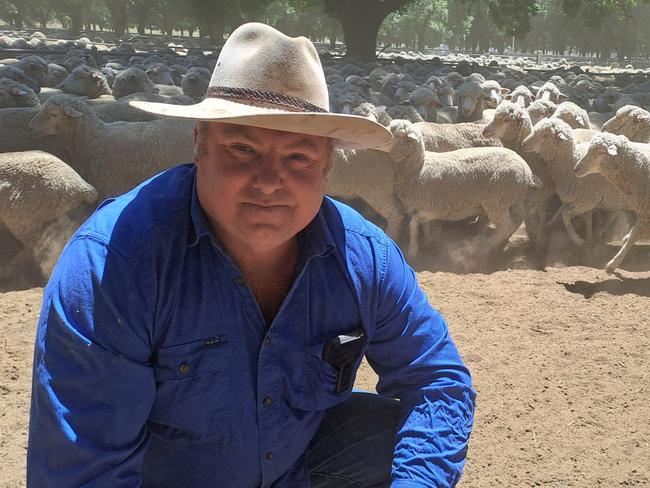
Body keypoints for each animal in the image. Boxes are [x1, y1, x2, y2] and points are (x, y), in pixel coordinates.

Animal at [380, 118, 536, 260]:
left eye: (397, 134)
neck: (418, 167)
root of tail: (526, 169)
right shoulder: (425, 206)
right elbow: (425, 225)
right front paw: (428, 243)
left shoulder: (436, 208)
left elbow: (413, 224)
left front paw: (413, 251)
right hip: (511, 199)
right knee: (516, 220)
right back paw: (497, 245)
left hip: (497, 201)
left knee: (506, 226)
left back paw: (481, 248)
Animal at [520, 118, 632, 248]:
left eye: (545, 135)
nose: (523, 144)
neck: (570, 162)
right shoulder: (582, 200)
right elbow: (585, 218)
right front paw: (588, 237)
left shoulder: (586, 201)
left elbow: (565, 215)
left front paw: (578, 240)